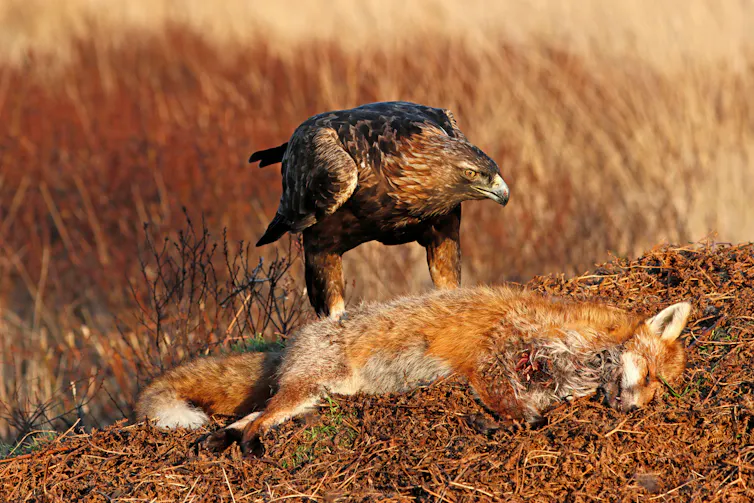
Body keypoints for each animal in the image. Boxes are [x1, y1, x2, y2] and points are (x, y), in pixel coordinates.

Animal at [135, 285, 690, 455]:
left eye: (658, 393)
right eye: (652, 379)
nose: (634, 409)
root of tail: (296, 338)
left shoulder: (532, 384)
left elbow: (531, 415)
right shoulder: (491, 361)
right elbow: (524, 416)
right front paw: (495, 424)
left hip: (315, 397)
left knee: (246, 419)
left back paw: (219, 441)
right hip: (308, 389)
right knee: (257, 421)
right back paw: (245, 446)